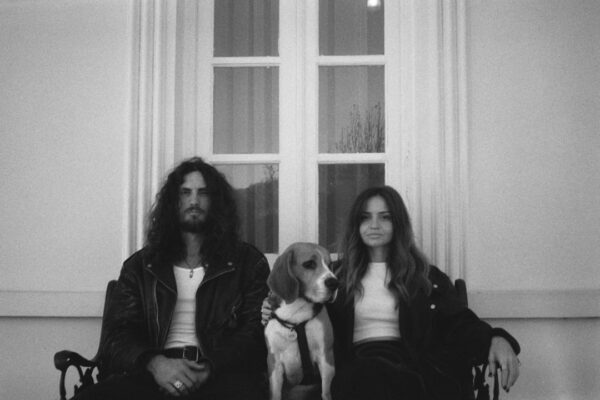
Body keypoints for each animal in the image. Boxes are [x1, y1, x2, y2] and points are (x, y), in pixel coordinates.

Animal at [264, 242, 339, 400]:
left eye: (330, 265)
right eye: (309, 264)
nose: (335, 283)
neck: (295, 314)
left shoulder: (326, 357)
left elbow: (325, 392)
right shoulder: (274, 362)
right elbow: (275, 393)